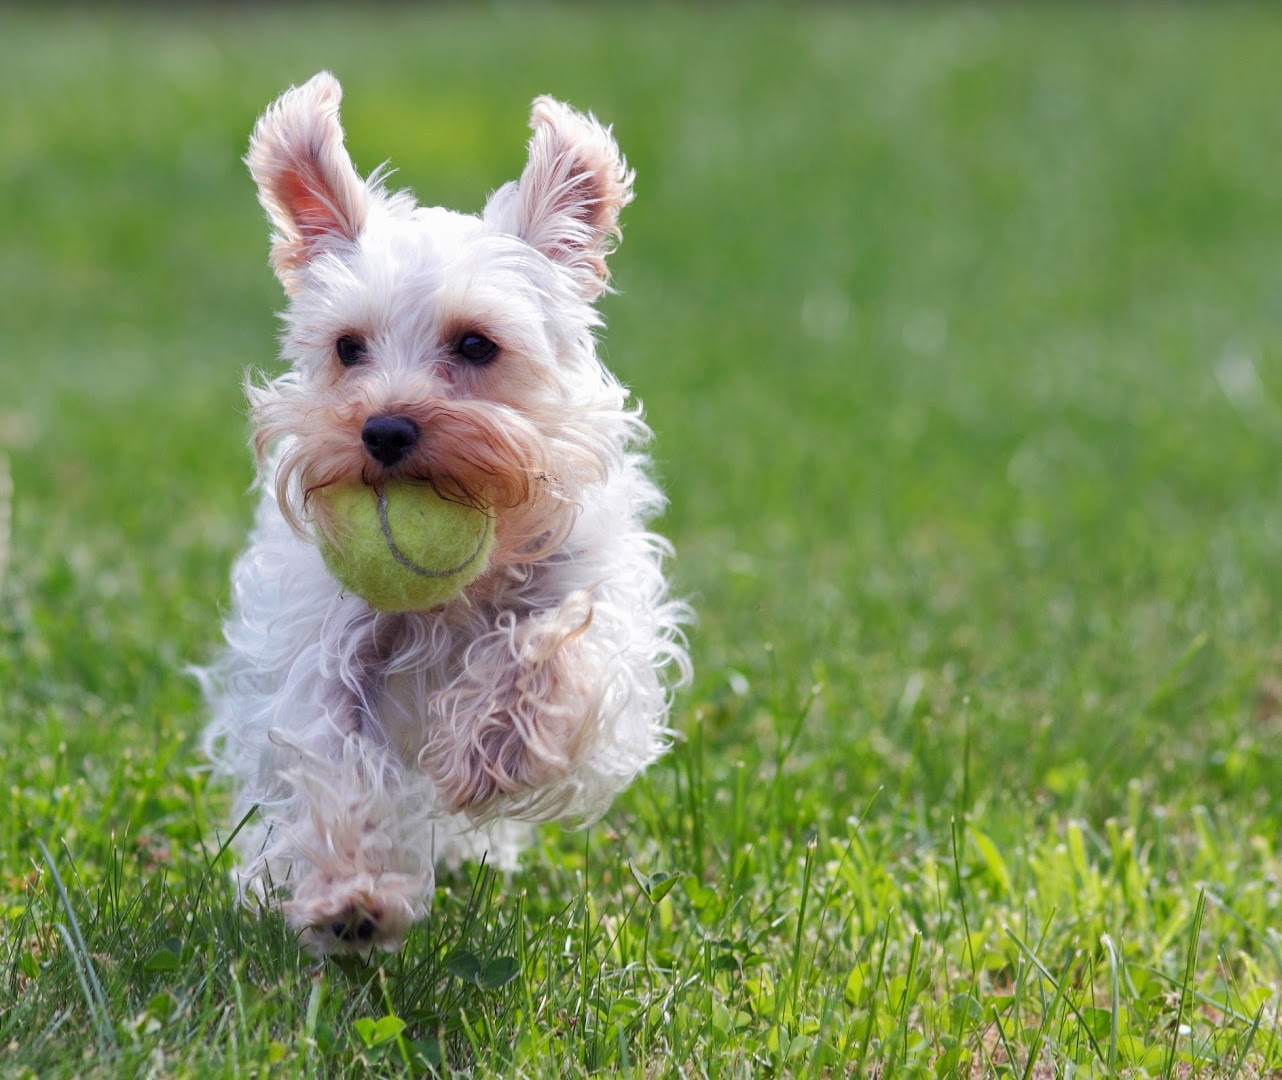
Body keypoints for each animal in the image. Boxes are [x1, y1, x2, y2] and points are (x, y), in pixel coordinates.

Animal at [197, 73, 692, 949]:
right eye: (348, 347)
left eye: (476, 345)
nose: (383, 429)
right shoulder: (329, 643)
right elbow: (332, 756)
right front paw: (352, 896)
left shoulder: (596, 609)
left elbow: (551, 651)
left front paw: (492, 749)